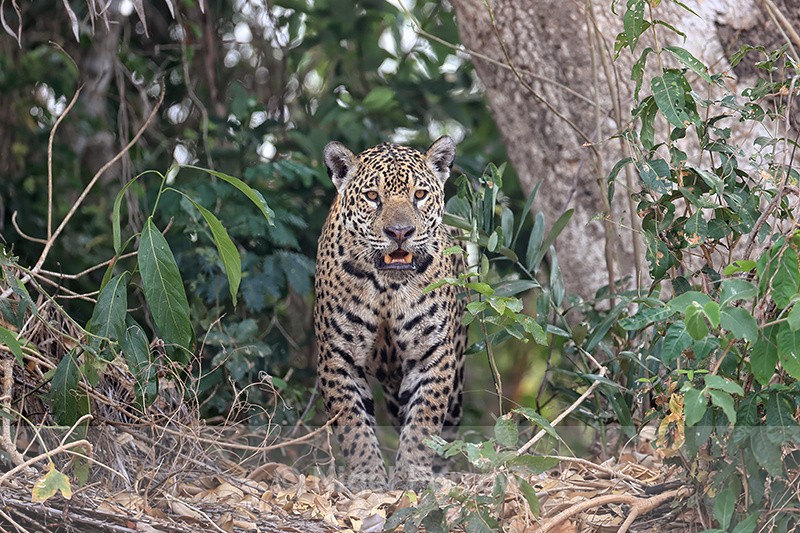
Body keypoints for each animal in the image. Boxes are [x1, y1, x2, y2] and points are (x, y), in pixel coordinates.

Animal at [314, 136, 467, 491]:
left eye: (419, 195)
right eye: (373, 196)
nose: (400, 232)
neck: (387, 285)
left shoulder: (432, 355)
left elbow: (424, 421)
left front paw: (413, 475)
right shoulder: (337, 356)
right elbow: (352, 421)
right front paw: (368, 477)